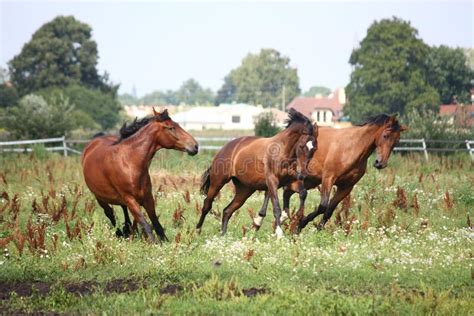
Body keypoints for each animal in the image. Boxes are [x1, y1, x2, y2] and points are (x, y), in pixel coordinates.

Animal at [81, 108, 198, 242]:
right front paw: (154, 243)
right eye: (171, 128)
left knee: (124, 211)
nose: (195, 146)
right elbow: (145, 223)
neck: (129, 162)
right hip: (100, 197)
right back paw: (120, 232)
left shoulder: (147, 197)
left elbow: (155, 222)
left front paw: (164, 241)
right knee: (110, 214)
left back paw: (128, 231)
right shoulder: (130, 199)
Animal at [256, 114, 408, 232]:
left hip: (305, 181)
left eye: (397, 141)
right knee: (271, 192)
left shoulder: (346, 187)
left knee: (285, 193)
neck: (352, 147)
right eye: (385, 135)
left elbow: (329, 209)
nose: (380, 163)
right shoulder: (328, 178)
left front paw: (318, 228)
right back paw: (261, 221)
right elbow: (323, 205)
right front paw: (301, 224)